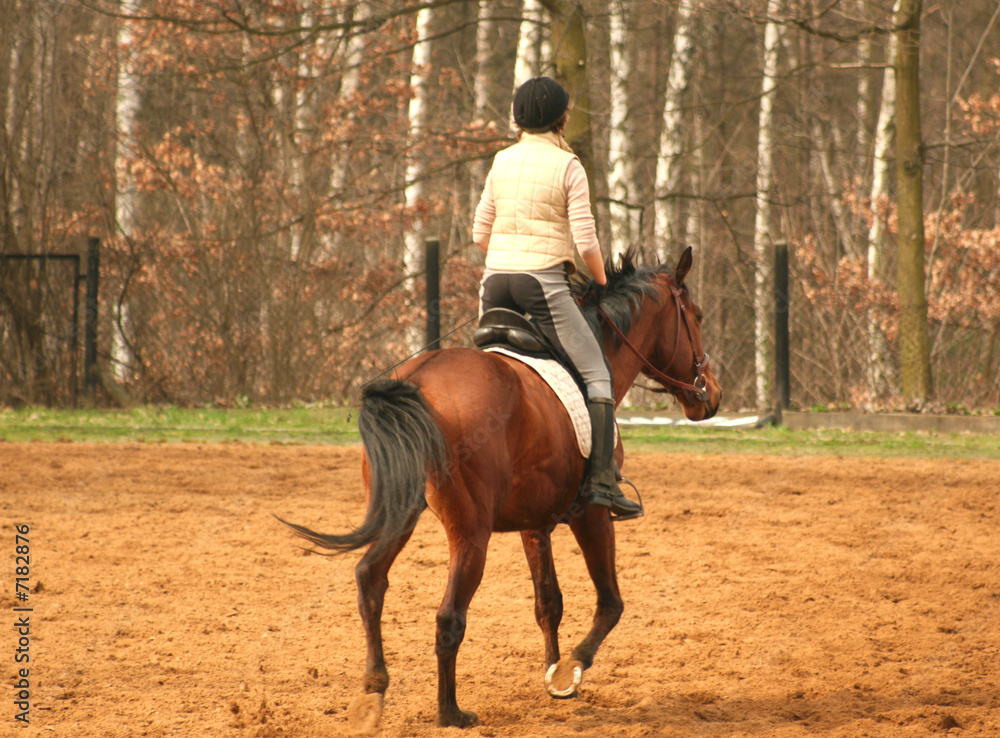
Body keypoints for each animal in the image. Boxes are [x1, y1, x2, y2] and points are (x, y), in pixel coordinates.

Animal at [278, 244, 724, 728]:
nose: (712, 394)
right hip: (470, 531)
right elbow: (610, 603)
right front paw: (569, 670)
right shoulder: (591, 514)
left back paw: (373, 694)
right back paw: (449, 712)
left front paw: (553, 671)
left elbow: (548, 602)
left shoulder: (535, 523)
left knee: (370, 579)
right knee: (449, 615)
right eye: (697, 317)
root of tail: (416, 379)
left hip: (403, 513)